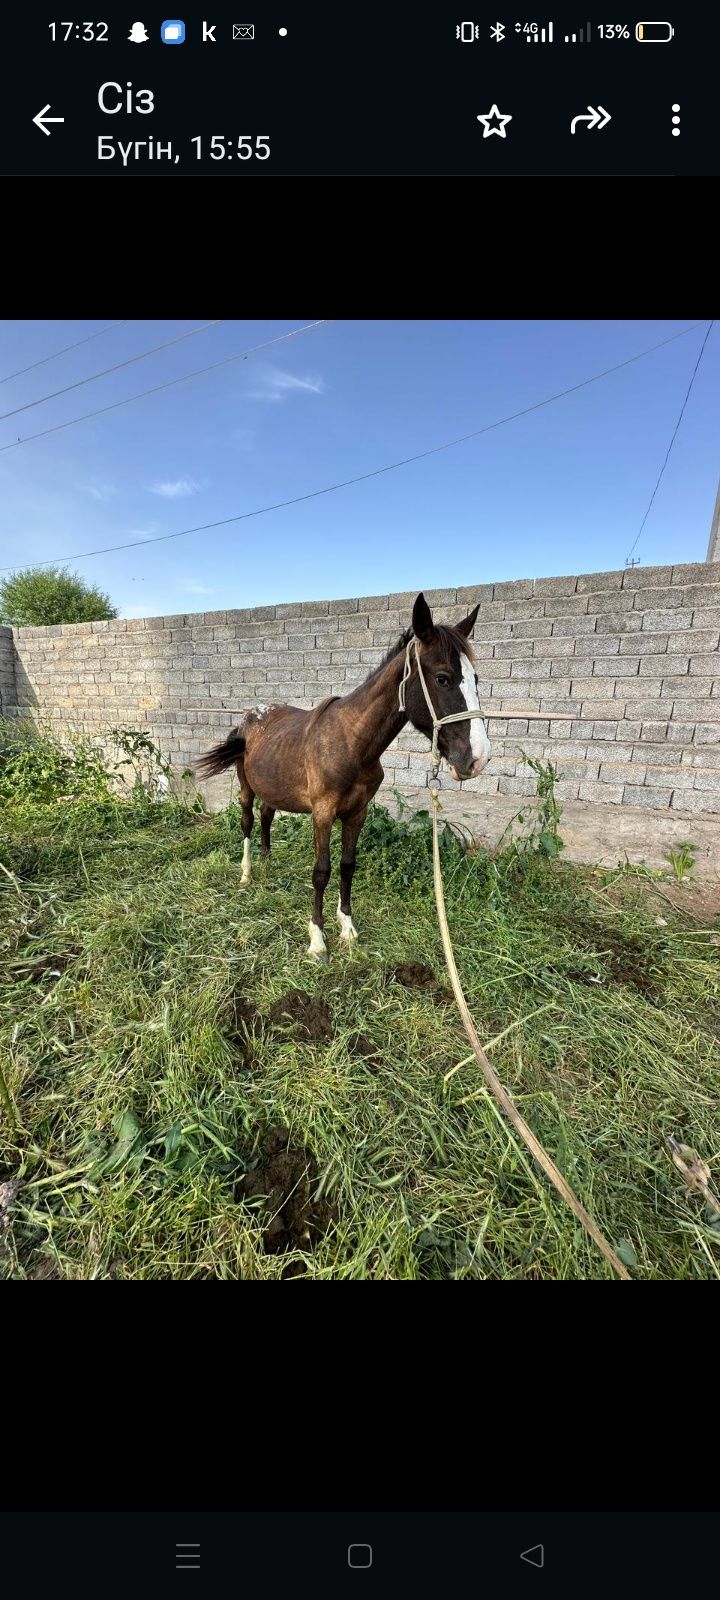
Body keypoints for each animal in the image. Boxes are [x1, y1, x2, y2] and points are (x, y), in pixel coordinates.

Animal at [196, 592, 489, 953]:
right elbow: (321, 871)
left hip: (274, 786)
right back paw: (247, 873)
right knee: (248, 822)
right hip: (245, 788)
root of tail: (249, 718)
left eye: (475, 679)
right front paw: (317, 938)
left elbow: (348, 866)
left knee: (266, 816)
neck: (352, 743)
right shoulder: (322, 813)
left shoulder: (357, 813)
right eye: (443, 678)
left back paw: (267, 861)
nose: (477, 758)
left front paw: (347, 926)